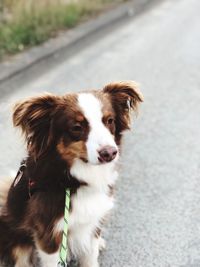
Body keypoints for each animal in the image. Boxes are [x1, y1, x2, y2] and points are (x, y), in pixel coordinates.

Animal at [0, 81, 143, 267]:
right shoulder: (48, 234)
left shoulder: (92, 223)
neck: (72, 181)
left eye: (109, 121)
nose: (110, 153)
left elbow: (90, 256)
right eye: (76, 127)